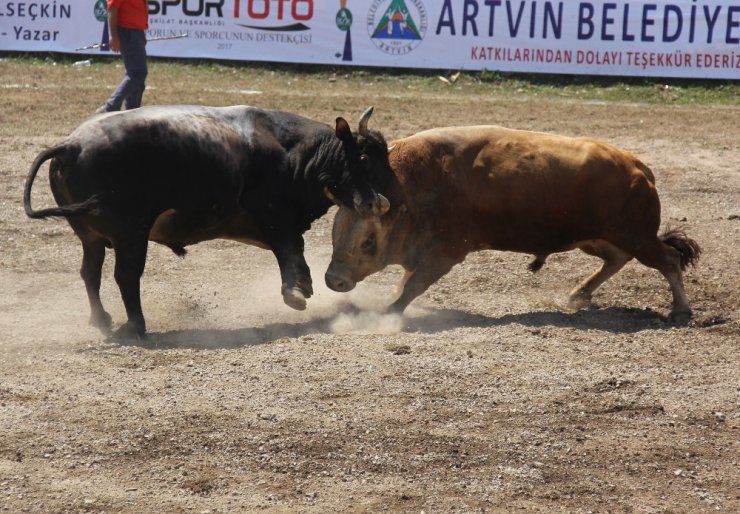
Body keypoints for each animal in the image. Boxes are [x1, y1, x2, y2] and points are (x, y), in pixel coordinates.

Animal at [23, 104, 394, 338]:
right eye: (364, 157)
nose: (385, 197)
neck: (294, 152)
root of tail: (71, 145)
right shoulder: (274, 213)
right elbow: (287, 248)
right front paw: (295, 291)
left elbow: (294, 250)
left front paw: (302, 286)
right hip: (131, 235)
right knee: (126, 276)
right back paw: (135, 327)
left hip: (90, 236)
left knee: (90, 273)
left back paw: (102, 320)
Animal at [326, 126, 704, 318]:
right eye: (334, 231)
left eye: (368, 241)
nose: (334, 279)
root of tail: (639, 168)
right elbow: (405, 280)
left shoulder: (446, 253)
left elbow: (413, 285)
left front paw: (388, 312)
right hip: (597, 238)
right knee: (618, 259)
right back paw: (579, 293)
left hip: (636, 235)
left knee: (668, 259)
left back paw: (681, 309)